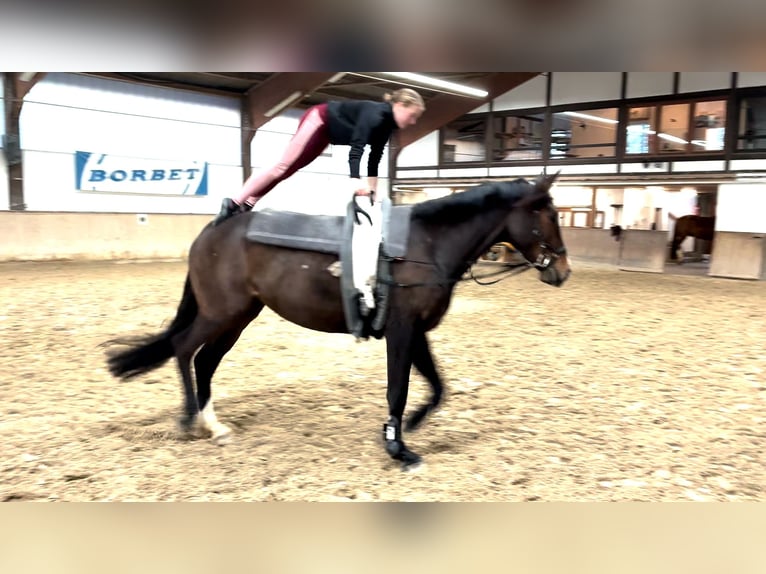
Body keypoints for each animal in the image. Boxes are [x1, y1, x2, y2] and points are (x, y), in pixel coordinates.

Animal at [105, 173, 571, 468]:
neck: (427, 244)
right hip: (222, 313)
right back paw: (189, 421)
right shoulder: (401, 330)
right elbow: (399, 388)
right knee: (185, 349)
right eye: (550, 215)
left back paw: (213, 425)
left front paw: (412, 426)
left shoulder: (416, 330)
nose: (563, 271)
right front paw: (397, 446)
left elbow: (437, 386)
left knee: (204, 361)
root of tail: (212, 231)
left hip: (238, 318)